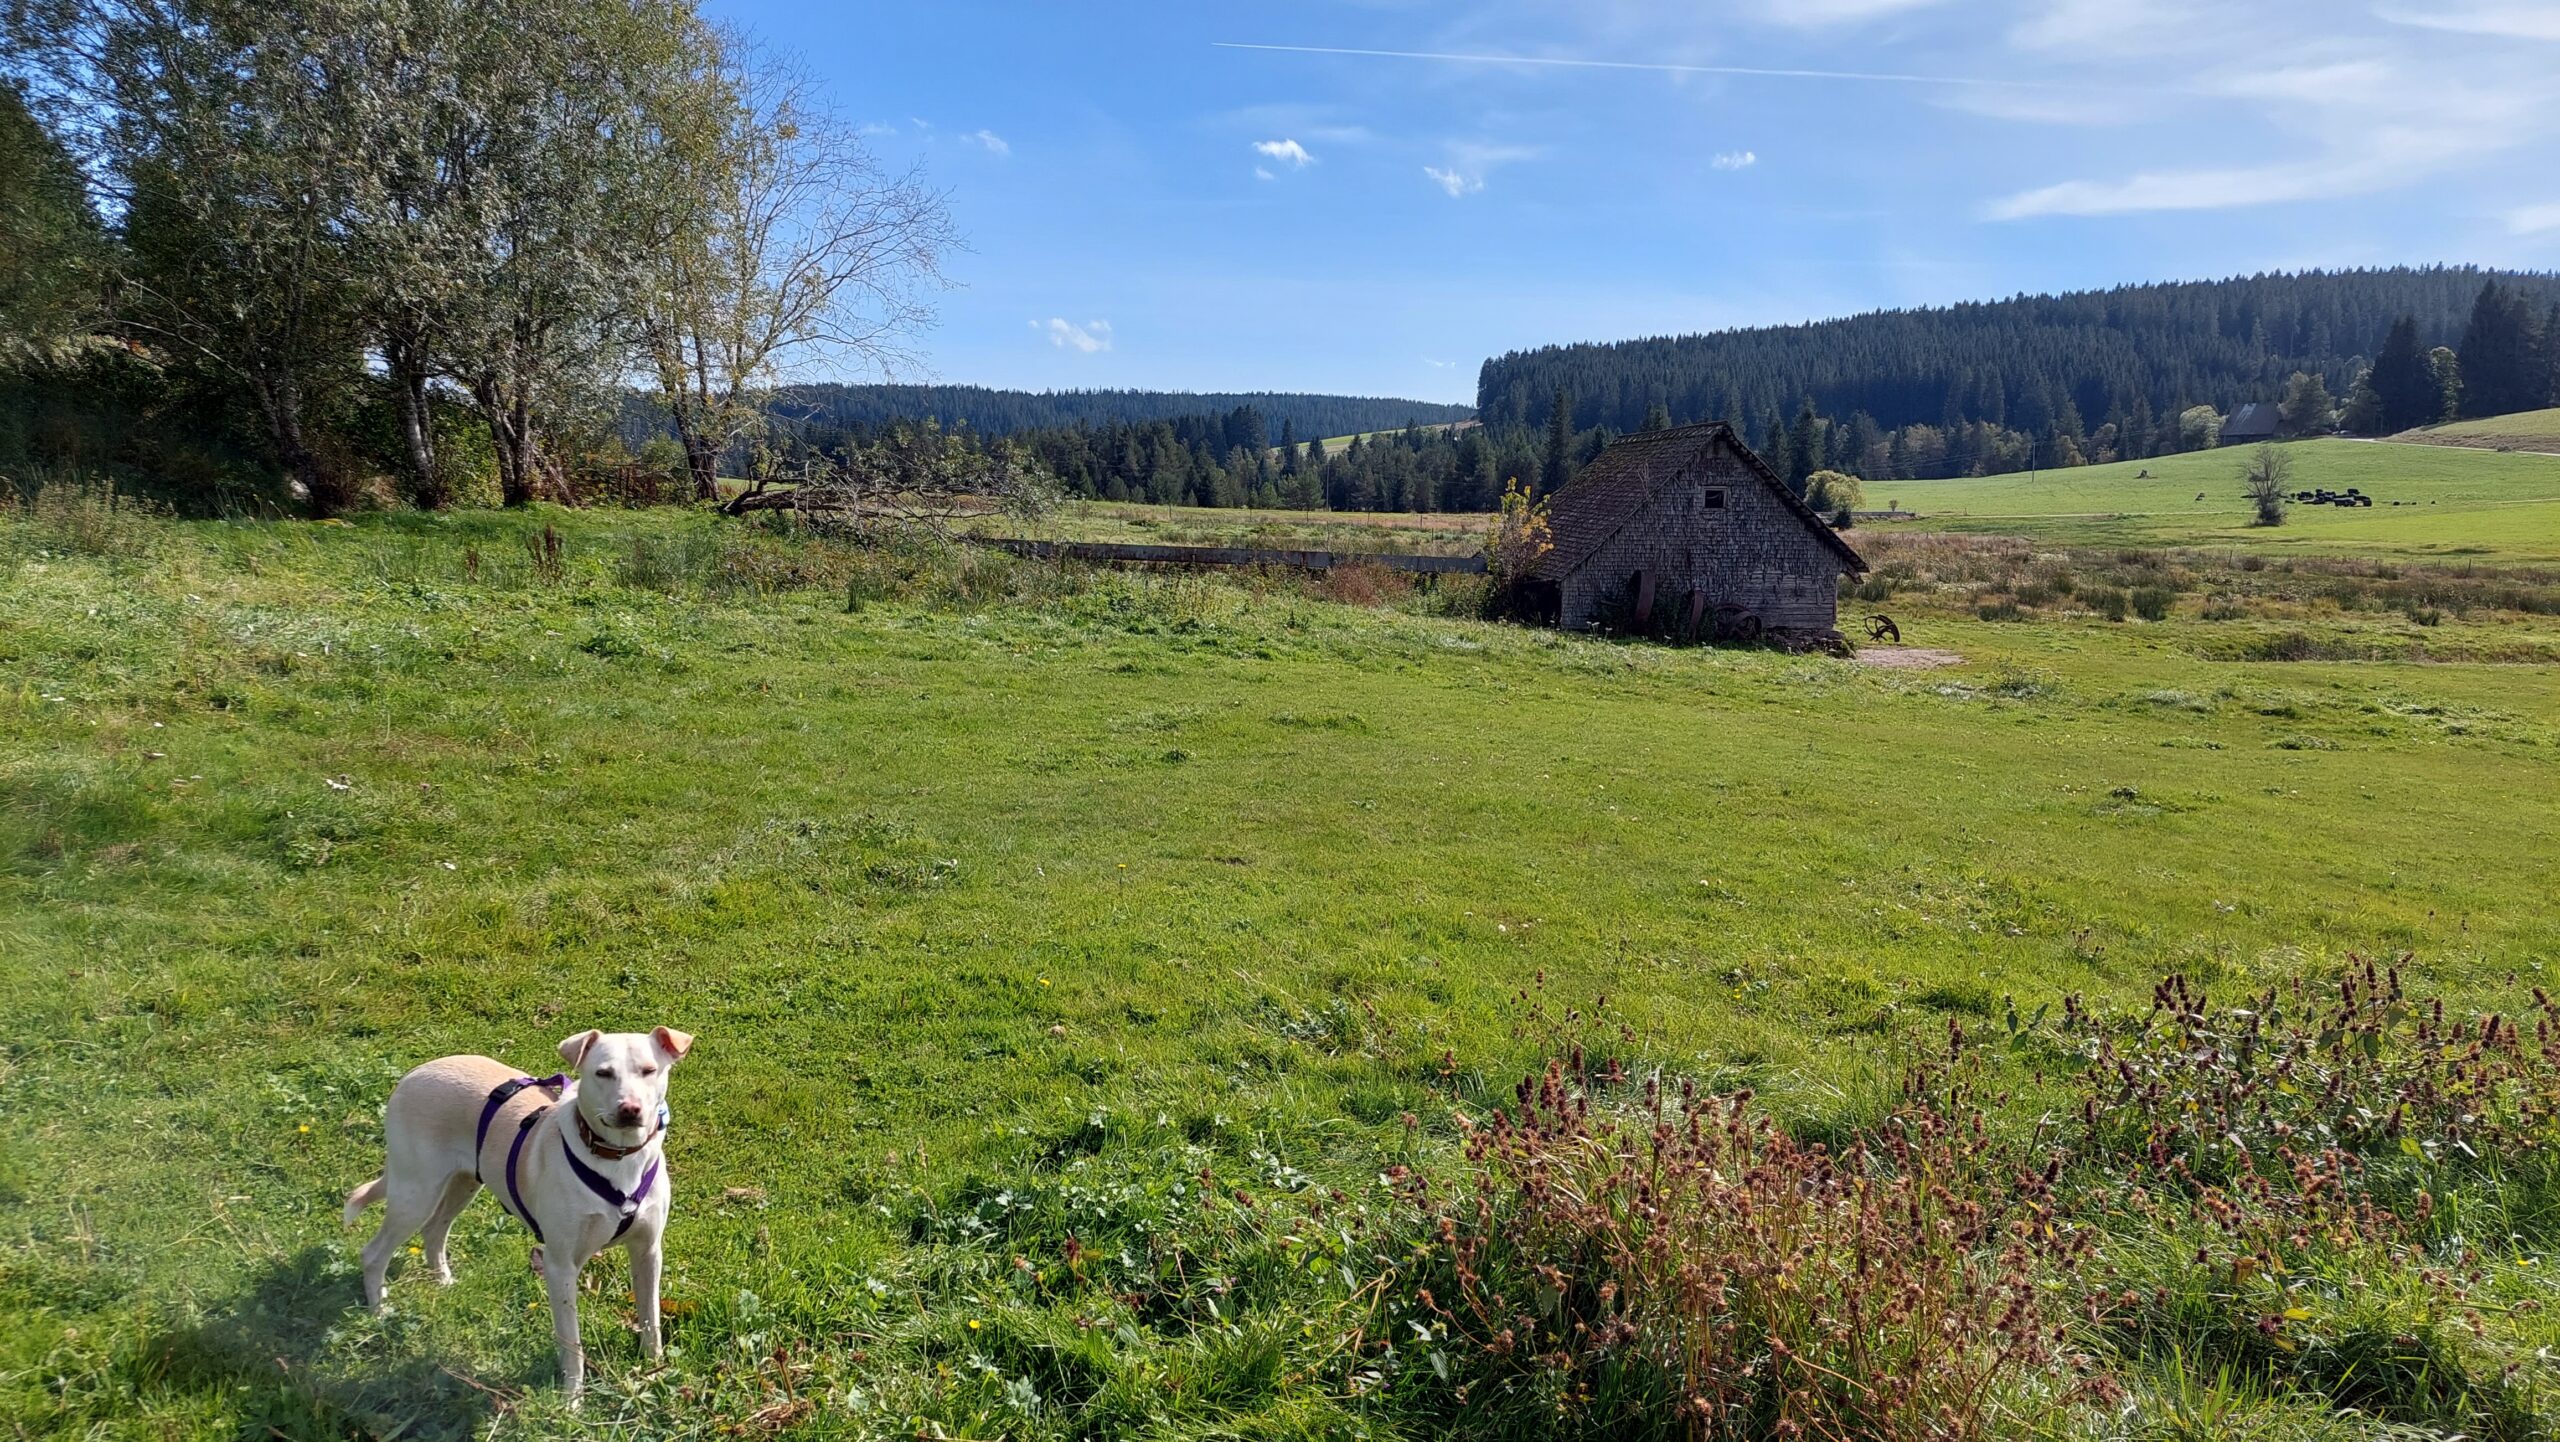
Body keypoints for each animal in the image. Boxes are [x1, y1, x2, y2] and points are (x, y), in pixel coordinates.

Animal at [350, 1034, 696, 1403]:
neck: (616, 1158)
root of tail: (414, 1074)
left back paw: (442, 1280)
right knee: (374, 1253)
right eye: (603, 1073)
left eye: (649, 1070)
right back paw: (378, 1312)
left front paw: (656, 1368)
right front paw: (572, 1398)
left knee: (434, 1230)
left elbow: (651, 1317)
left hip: (464, 1182)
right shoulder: (559, 1265)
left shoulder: (648, 1252)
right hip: (416, 1193)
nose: (629, 1109)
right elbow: (571, 1340)